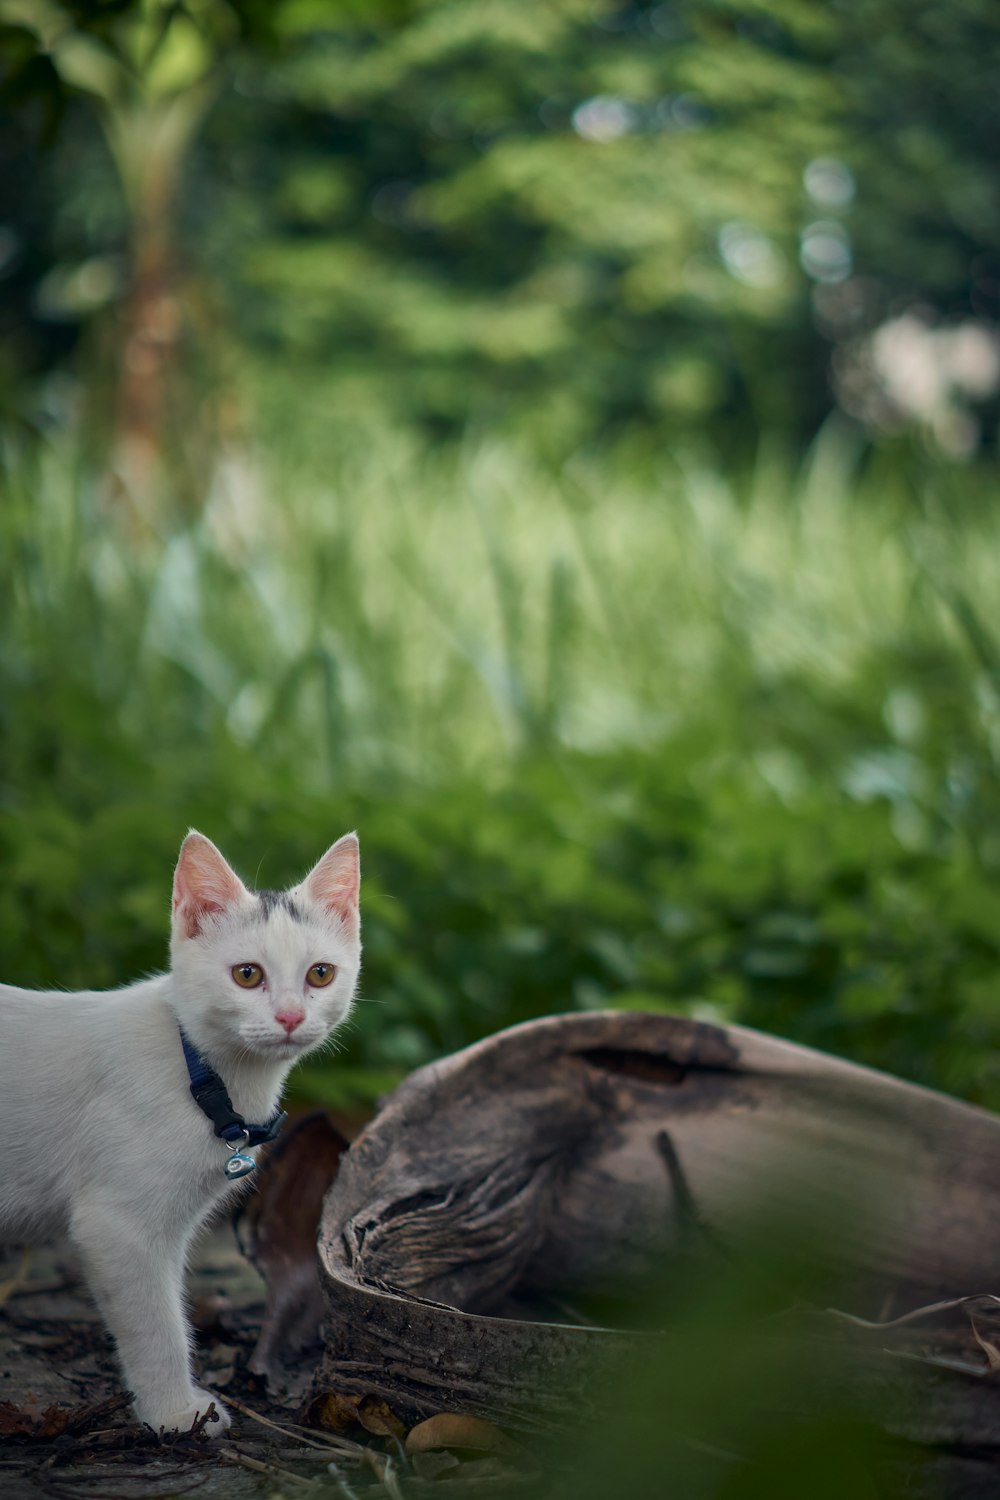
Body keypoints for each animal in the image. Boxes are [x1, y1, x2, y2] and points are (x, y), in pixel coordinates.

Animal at [0, 834, 359, 1440]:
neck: (206, 1075)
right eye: (246, 975)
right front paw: (176, 1413)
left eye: (319, 975)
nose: (290, 1017)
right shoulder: (117, 1228)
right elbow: (156, 1326)